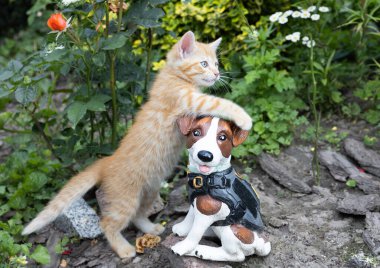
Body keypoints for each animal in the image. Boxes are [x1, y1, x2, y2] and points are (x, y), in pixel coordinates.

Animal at [22, 30, 251, 258]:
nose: (217, 74)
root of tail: (107, 161)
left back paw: (151, 228)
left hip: (148, 191)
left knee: (138, 215)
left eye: (216, 64)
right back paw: (124, 250)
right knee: (108, 223)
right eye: (204, 64)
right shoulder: (188, 100)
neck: (174, 76)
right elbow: (220, 103)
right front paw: (244, 118)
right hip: (125, 200)